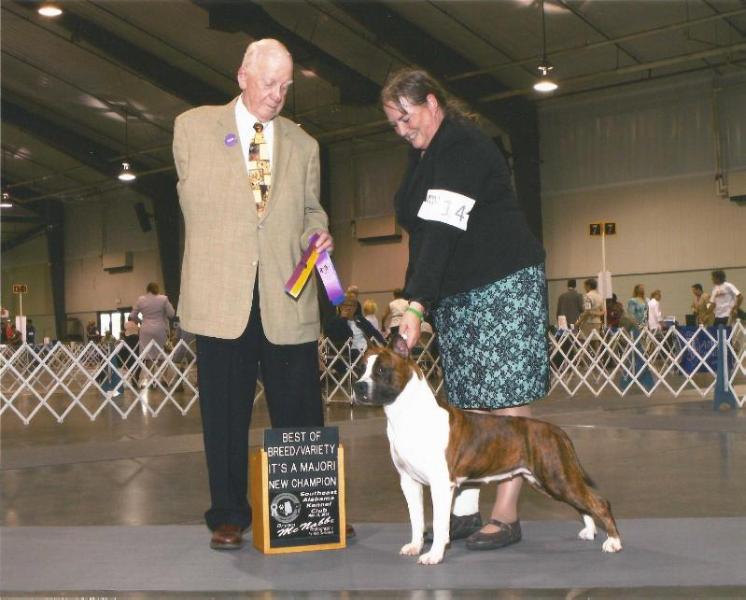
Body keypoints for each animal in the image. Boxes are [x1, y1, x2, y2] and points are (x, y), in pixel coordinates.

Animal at [352, 336, 620, 564]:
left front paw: (434, 555)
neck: (406, 414)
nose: (358, 387)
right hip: (546, 480)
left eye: (381, 370)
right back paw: (589, 530)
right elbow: (416, 519)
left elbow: (439, 523)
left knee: (599, 502)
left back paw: (614, 541)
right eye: (360, 369)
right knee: (583, 502)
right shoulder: (409, 481)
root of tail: (557, 431)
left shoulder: (441, 484)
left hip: (557, 477)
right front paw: (415, 546)